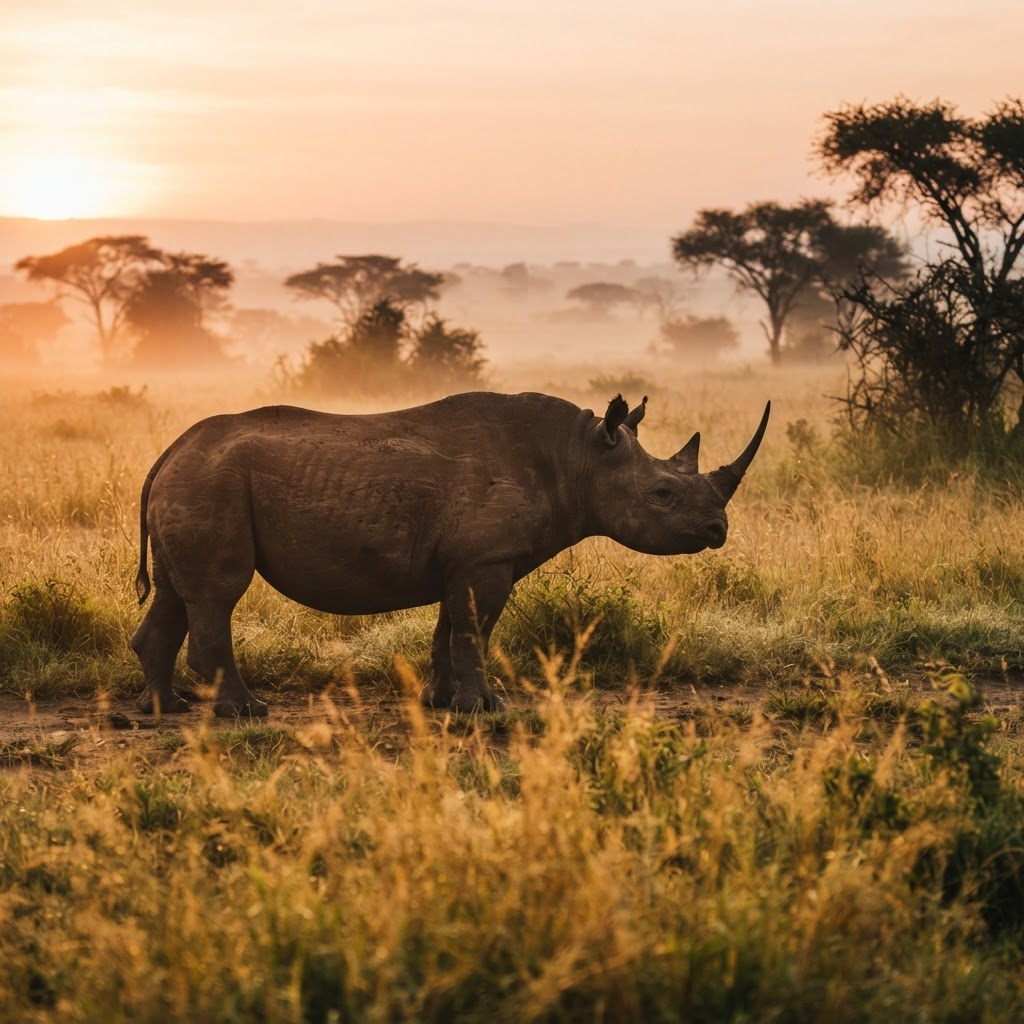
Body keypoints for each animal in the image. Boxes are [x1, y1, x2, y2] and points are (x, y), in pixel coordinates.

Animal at [131, 391, 769, 717]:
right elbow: (473, 630)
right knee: (217, 593)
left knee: (176, 593)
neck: (579, 459)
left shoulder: (463, 561)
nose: (717, 529)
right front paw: (481, 709)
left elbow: (450, 629)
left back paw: (168, 710)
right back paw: (246, 712)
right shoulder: (486, 560)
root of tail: (166, 453)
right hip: (210, 482)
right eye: (663, 494)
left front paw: (439, 703)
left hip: (195, 481)